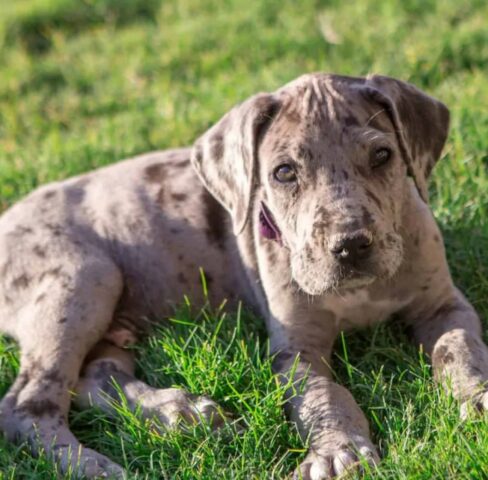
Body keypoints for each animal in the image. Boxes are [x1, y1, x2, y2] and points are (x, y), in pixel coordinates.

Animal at [0, 73, 488, 478]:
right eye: (284, 172)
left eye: (383, 155)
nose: (350, 246)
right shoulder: (295, 349)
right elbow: (323, 397)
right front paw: (338, 451)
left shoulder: (444, 305)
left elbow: (457, 348)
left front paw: (477, 398)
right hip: (82, 279)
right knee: (27, 405)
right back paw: (95, 466)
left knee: (94, 374)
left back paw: (180, 412)